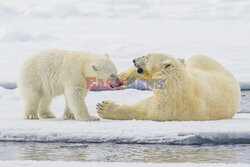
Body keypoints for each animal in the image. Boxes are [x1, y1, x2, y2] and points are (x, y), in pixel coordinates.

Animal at [97, 54, 240, 120]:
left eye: (147, 57)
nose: (134, 60)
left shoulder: (166, 106)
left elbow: (141, 111)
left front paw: (104, 107)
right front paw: (122, 77)